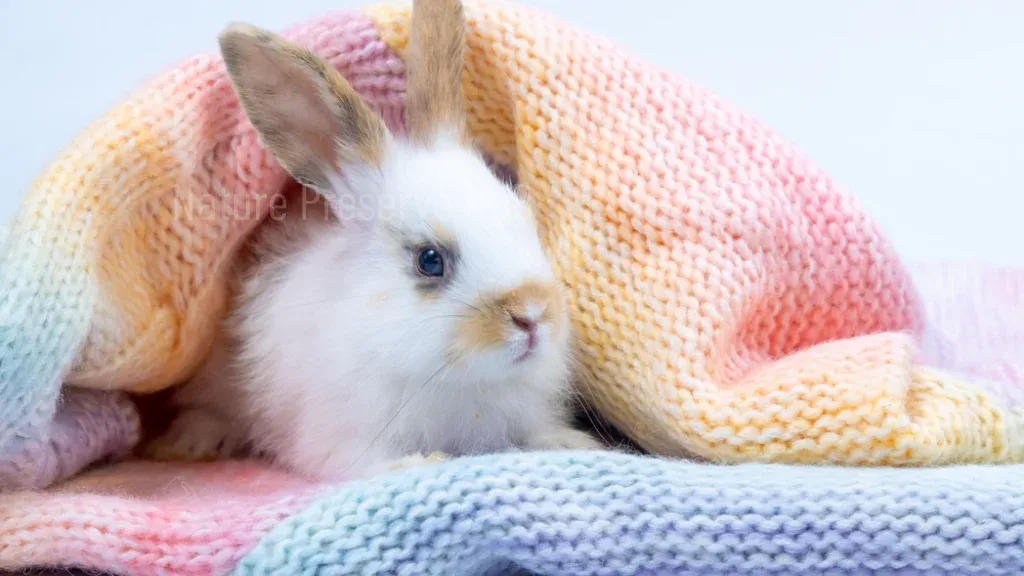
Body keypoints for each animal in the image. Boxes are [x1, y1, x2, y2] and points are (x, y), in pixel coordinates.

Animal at [144, 0, 603, 481]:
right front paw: (416, 463)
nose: (533, 316)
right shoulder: (341, 436)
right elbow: (366, 460)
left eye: (524, 221)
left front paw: (573, 442)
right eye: (429, 260)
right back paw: (188, 444)